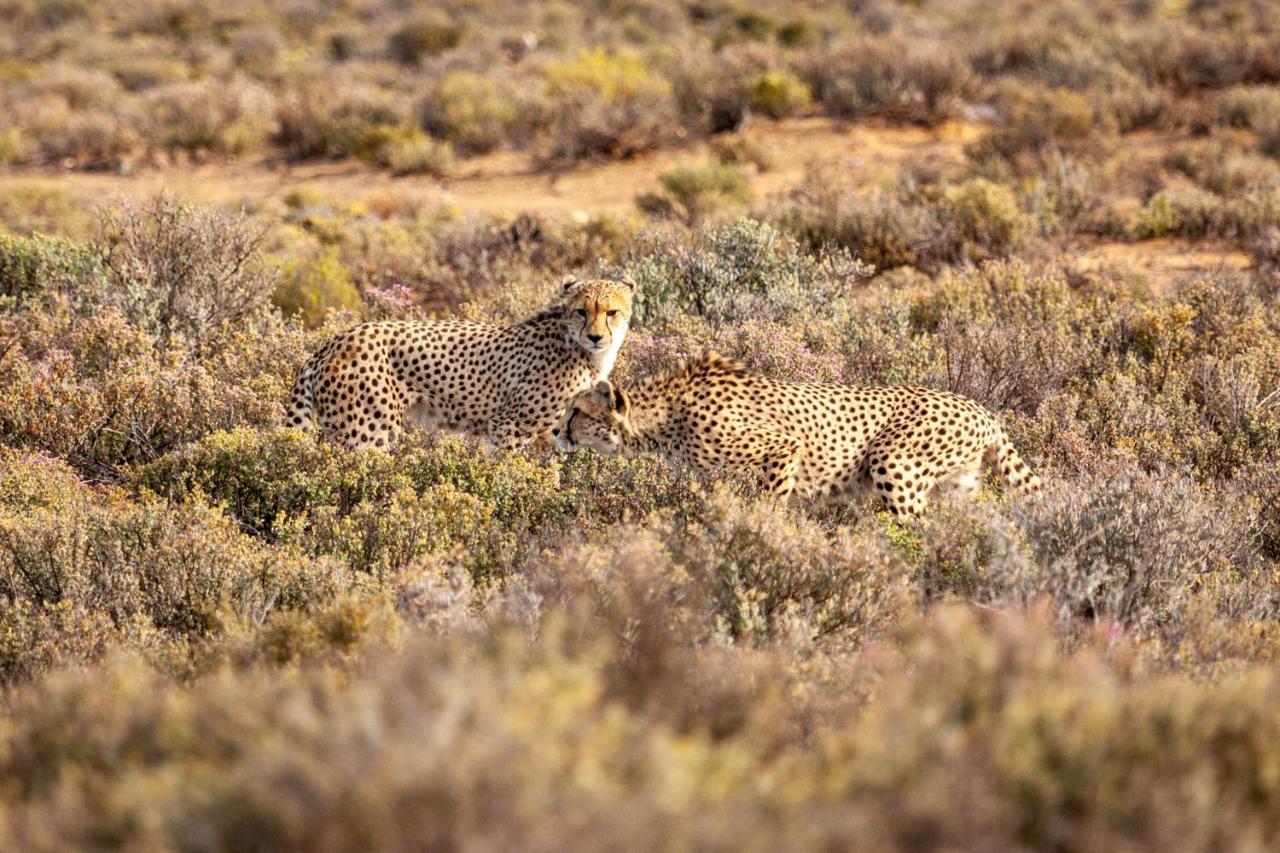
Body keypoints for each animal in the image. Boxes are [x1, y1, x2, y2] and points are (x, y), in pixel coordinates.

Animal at [288, 274, 632, 448]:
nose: (596, 337)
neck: (584, 352)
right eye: (581, 311)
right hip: (368, 434)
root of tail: (333, 342)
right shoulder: (509, 425)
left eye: (611, 312)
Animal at [552, 350, 1039, 514]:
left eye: (576, 411)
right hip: (958, 485)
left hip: (894, 464)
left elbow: (768, 505)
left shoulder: (782, 448)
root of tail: (983, 409)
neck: (667, 416)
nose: (556, 431)